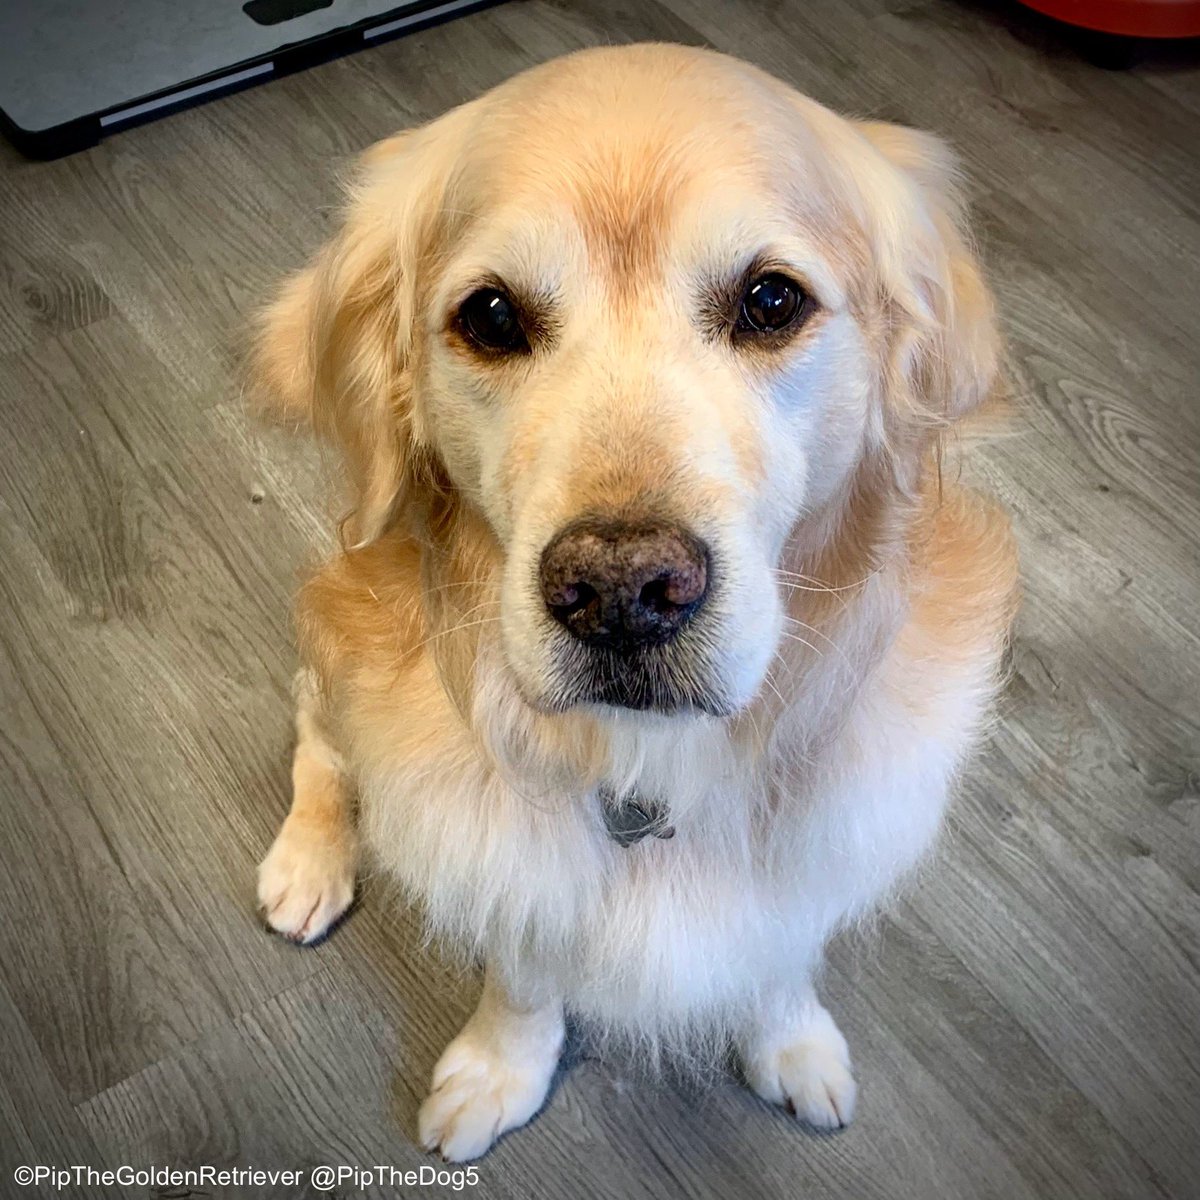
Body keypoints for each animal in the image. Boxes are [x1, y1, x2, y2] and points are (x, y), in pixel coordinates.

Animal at [255, 44, 1022, 1161]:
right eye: (491, 316)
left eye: (771, 301)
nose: (622, 592)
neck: (650, 774)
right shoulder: (512, 866)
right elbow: (526, 975)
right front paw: (498, 1068)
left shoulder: (819, 849)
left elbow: (779, 954)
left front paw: (792, 1044)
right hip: (335, 652)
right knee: (317, 745)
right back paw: (307, 863)